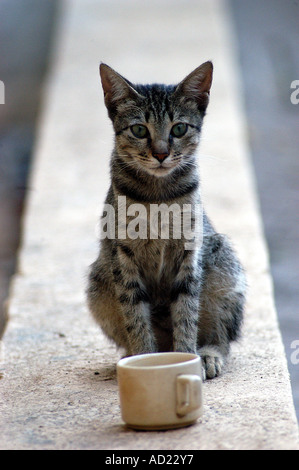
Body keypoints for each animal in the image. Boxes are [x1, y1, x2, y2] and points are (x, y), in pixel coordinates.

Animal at [86, 61, 246, 378]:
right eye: (138, 130)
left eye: (179, 128)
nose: (161, 153)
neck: (157, 196)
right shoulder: (122, 256)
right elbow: (135, 317)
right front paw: (144, 358)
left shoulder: (189, 252)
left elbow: (186, 313)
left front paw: (186, 358)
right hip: (99, 283)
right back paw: (131, 357)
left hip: (222, 264)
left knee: (221, 335)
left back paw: (208, 354)